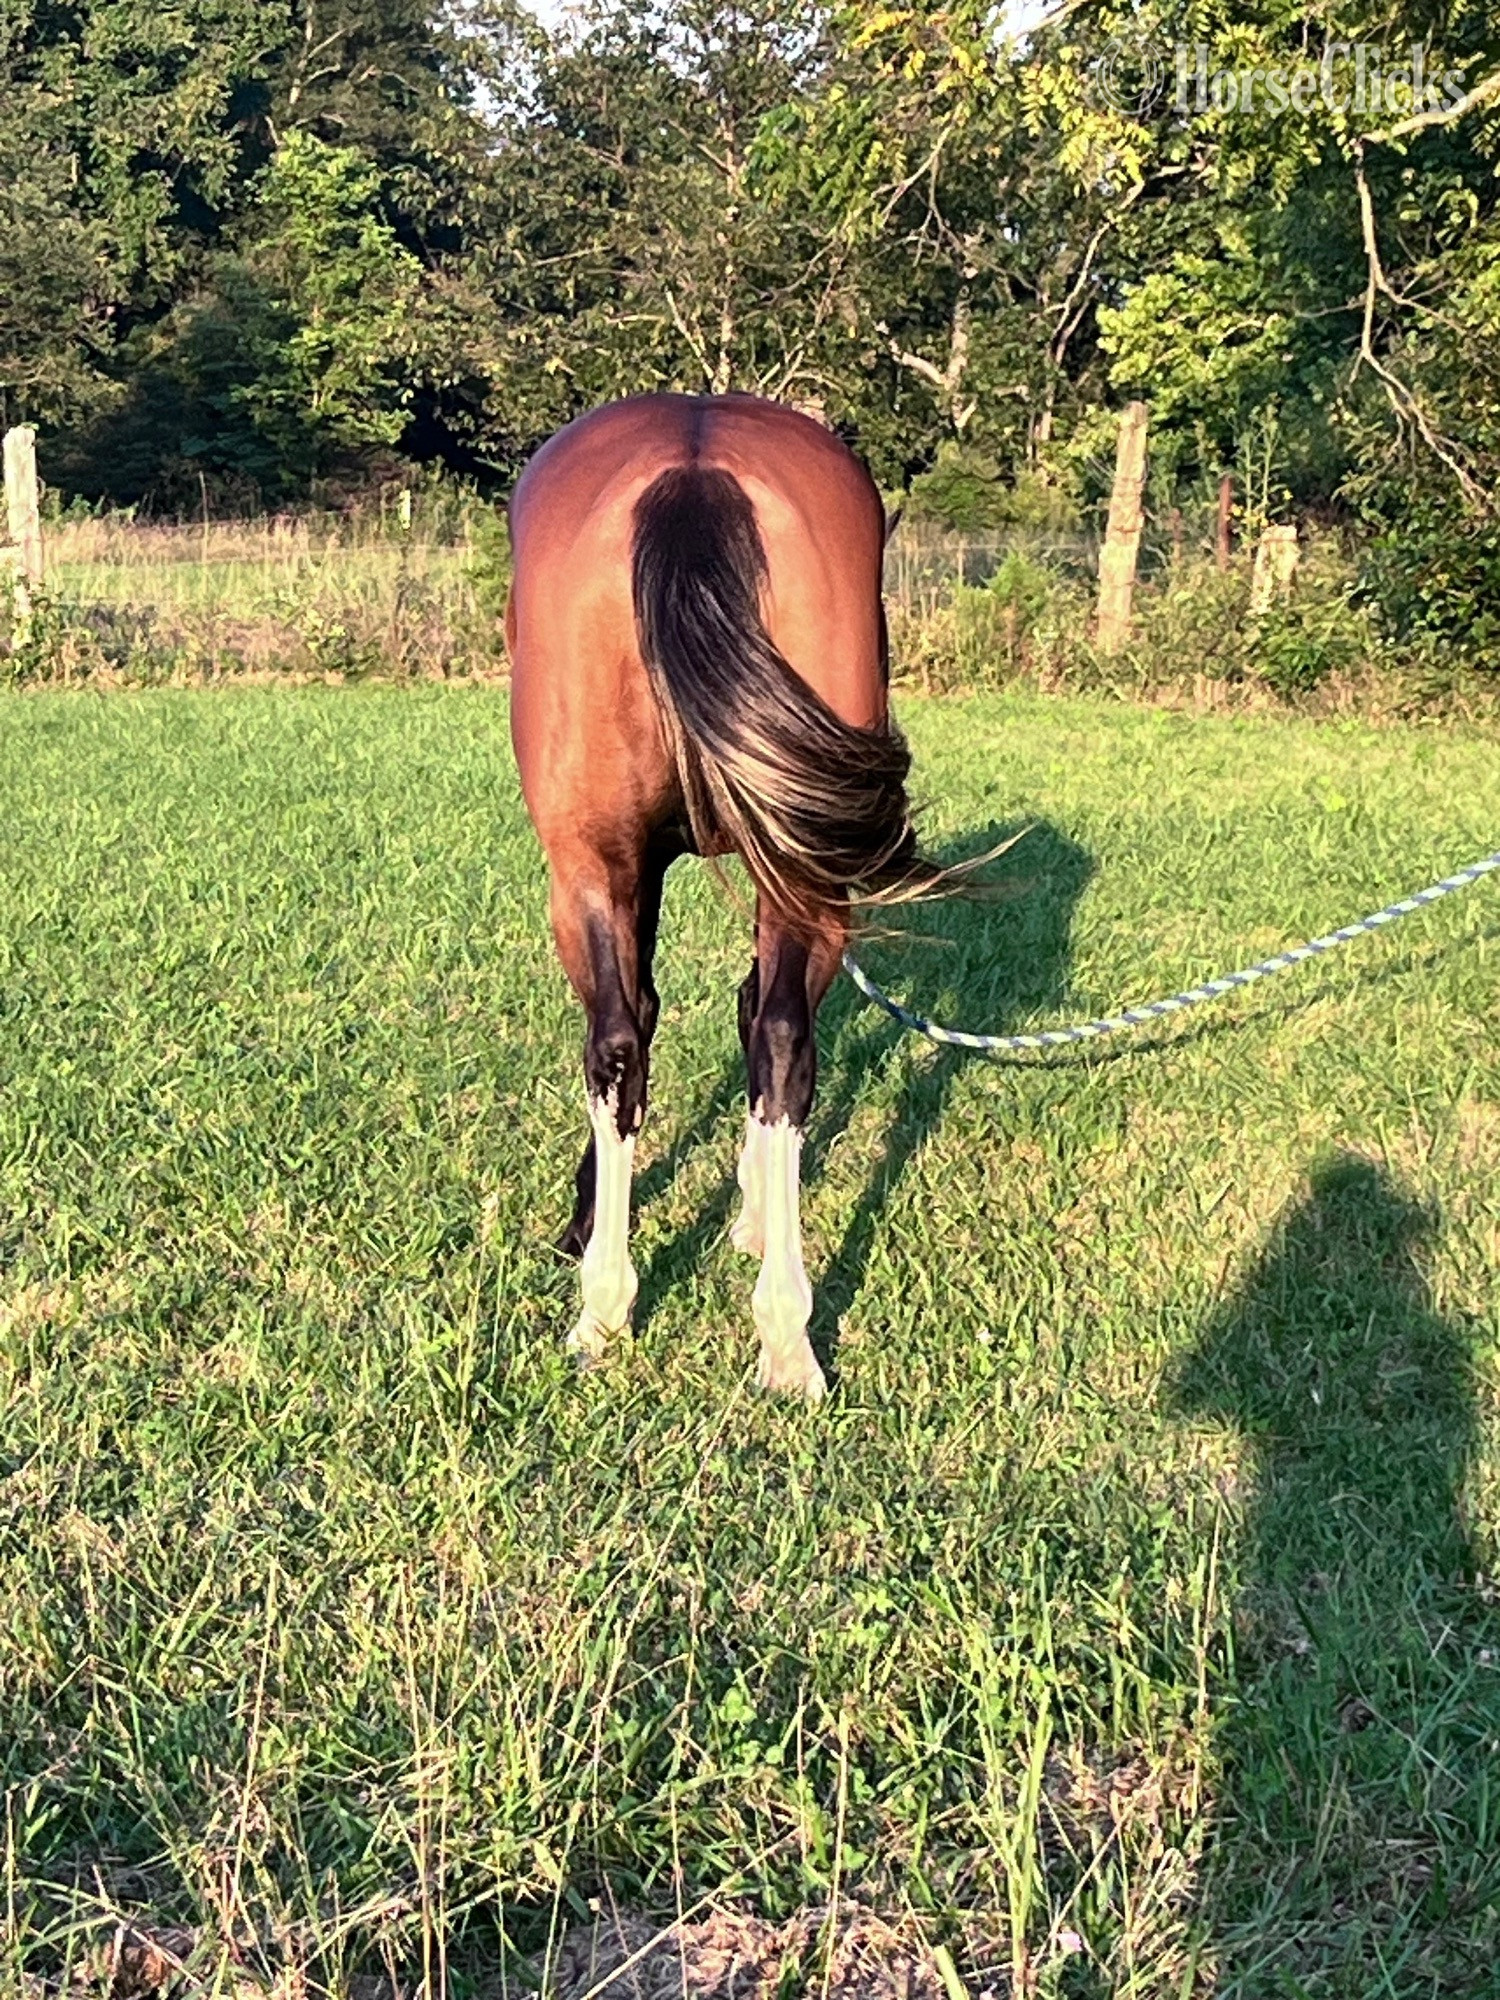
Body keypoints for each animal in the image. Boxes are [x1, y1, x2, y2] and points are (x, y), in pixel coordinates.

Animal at [506, 392, 927, 1399]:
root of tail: (697, 467)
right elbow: (744, 1020)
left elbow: (641, 1018)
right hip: (798, 874)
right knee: (775, 1041)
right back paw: (786, 1336)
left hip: (586, 869)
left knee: (618, 1046)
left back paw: (605, 1310)